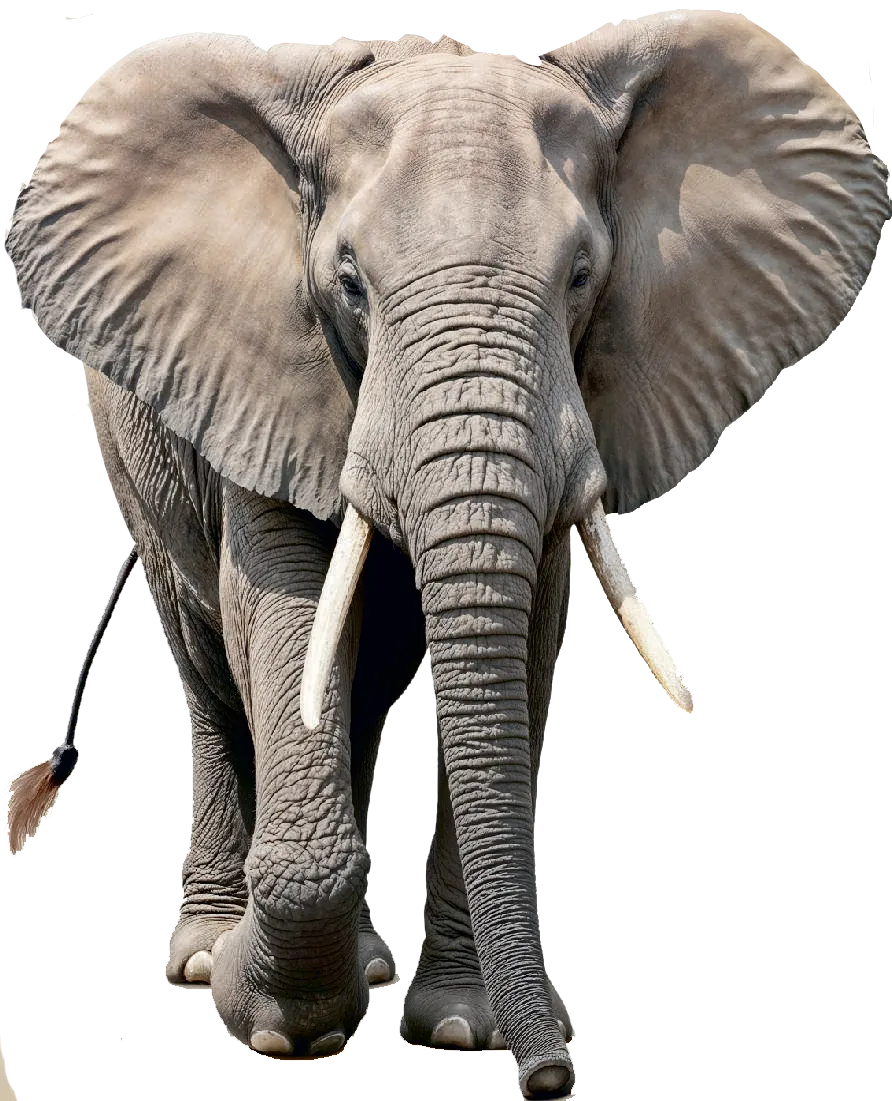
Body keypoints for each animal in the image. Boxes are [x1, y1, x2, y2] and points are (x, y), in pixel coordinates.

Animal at [2, 11, 888, 1098]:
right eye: (348, 283)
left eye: (583, 276)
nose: (552, 1074)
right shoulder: (261, 366)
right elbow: (284, 605)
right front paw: (277, 1027)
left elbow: (523, 632)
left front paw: (468, 1030)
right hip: (132, 452)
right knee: (208, 663)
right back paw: (207, 954)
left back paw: (364, 959)